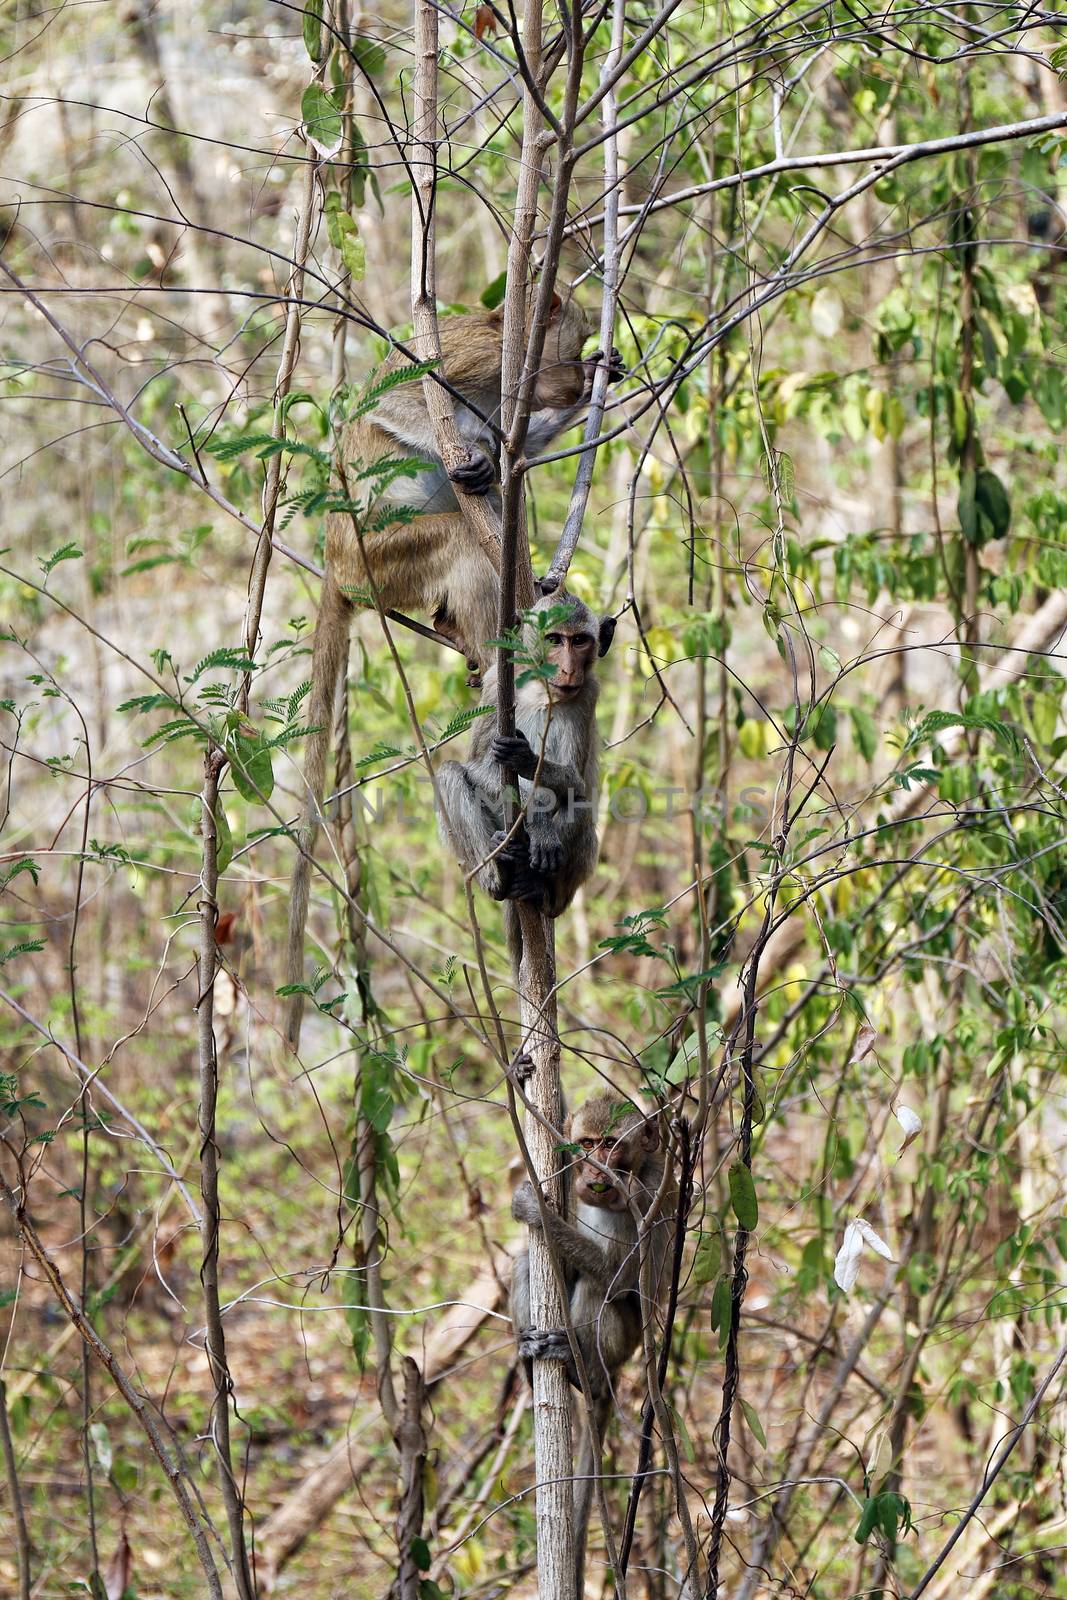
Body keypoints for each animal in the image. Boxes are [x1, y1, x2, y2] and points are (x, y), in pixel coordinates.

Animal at [435, 588, 617, 960]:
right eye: (554, 639)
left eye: (579, 640)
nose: (567, 669)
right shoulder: (494, 685)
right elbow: (478, 764)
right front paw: (537, 820)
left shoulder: (589, 693)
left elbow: (575, 782)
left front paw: (528, 762)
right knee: (449, 773)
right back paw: (498, 870)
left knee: (580, 804)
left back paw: (541, 893)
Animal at [511, 1088, 675, 1587]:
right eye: (585, 1145)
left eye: (610, 1145)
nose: (595, 1172)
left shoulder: (650, 1191)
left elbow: (624, 1277)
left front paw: (537, 1210)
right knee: (527, 1260)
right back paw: (530, 1359)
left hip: (624, 1345)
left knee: (598, 1290)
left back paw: (583, 1372)